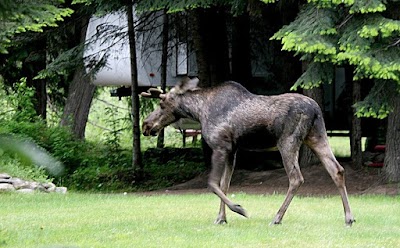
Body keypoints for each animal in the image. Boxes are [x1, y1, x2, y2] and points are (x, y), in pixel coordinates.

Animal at [142, 77, 354, 227]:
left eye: (161, 104)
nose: (146, 125)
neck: (199, 111)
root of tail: (316, 110)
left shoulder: (220, 146)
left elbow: (212, 183)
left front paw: (238, 209)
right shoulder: (232, 150)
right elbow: (225, 184)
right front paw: (221, 218)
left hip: (288, 141)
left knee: (296, 178)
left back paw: (277, 217)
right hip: (317, 136)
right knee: (337, 170)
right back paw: (349, 217)